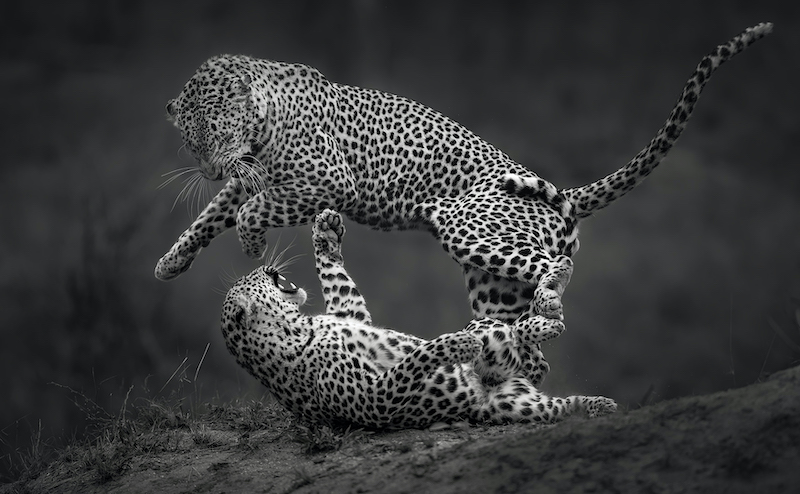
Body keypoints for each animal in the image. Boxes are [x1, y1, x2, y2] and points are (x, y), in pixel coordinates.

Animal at [221, 209, 617, 429]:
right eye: (252, 278)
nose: (266, 266)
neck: (299, 327)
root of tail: (506, 380)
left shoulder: (353, 314)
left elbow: (337, 280)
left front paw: (326, 233)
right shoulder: (375, 399)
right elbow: (415, 360)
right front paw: (454, 345)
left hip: (508, 365)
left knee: (516, 336)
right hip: (514, 403)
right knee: (544, 385)